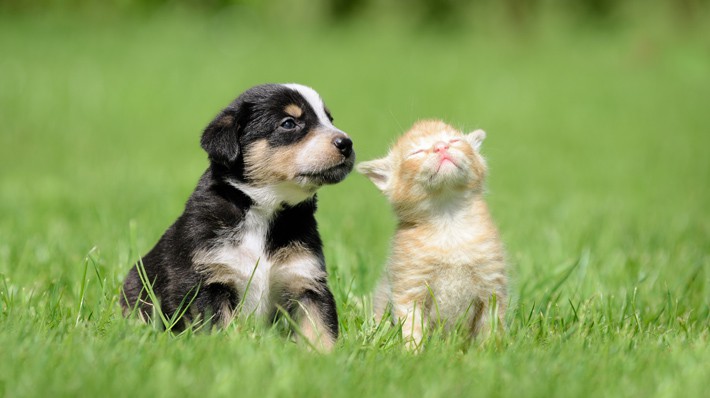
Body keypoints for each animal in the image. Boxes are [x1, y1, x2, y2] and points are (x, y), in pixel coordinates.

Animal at [124, 82, 356, 350]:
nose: (346, 143)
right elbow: (218, 327)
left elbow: (320, 329)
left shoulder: (306, 279)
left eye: (329, 119)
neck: (263, 212)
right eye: (288, 123)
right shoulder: (206, 281)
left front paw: (326, 356)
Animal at [358, 119, 508, 350]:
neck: (448, 222)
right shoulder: (409, 290)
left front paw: (490, 352)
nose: (441, 147)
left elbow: (490, 329)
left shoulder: (492, 288)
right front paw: (413, 354)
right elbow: (411, 329)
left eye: (454, 141)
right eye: (416, 152)